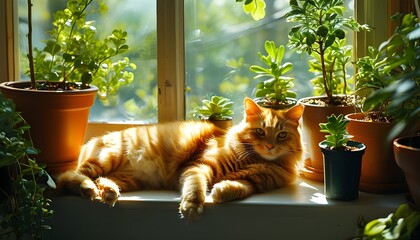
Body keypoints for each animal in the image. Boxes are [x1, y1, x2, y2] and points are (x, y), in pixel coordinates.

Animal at [56, 97, 306, 219]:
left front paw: (221, 192)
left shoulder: (252, 181)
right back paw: (87, 188)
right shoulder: (199, 166)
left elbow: (239, 188)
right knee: (67, 178)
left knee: (101, 181)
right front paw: (193, 206)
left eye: (282, 135)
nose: (270, 146)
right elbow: (196, 187)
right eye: (260, 132)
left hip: (129, 179)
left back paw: (108, 192)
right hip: (105, 158)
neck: (255, 160)